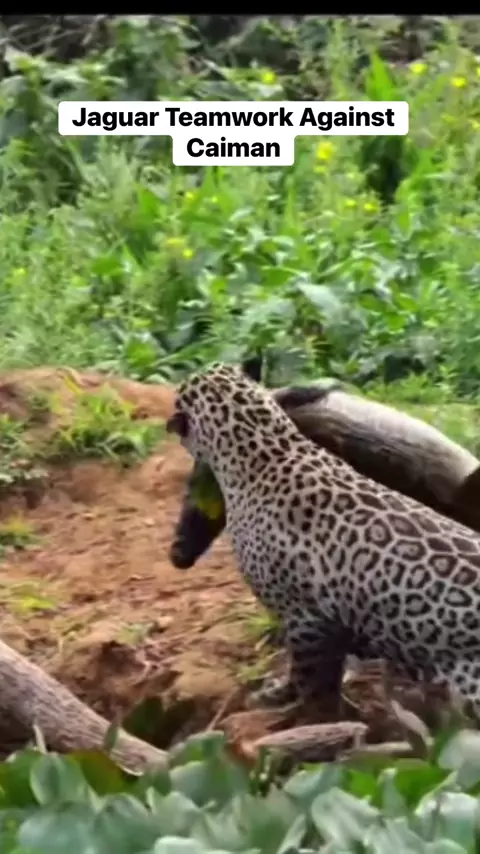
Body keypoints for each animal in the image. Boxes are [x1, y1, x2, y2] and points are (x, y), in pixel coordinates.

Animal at [166, 361, 480, 719]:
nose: (179, 554)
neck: (271, 448)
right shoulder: (332, 624)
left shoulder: (305, 619)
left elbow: (309, 678)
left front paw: (293, 705)